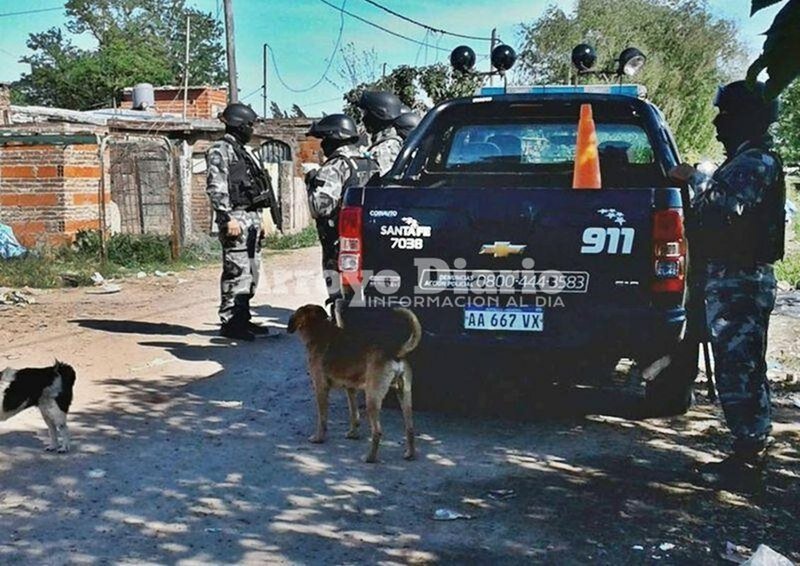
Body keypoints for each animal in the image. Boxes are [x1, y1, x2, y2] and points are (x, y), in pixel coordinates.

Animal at [290, 308, 424, 464]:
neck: (320, 329)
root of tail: (395, 352)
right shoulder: (350, 389)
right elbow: (354, 414)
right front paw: (353, 434)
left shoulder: (320, 388)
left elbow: (322, 418)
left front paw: (318, 438)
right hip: (404, 395)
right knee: (410, 428)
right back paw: (410, 454)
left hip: (372, 399)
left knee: (377, 431)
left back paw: (370, 457)